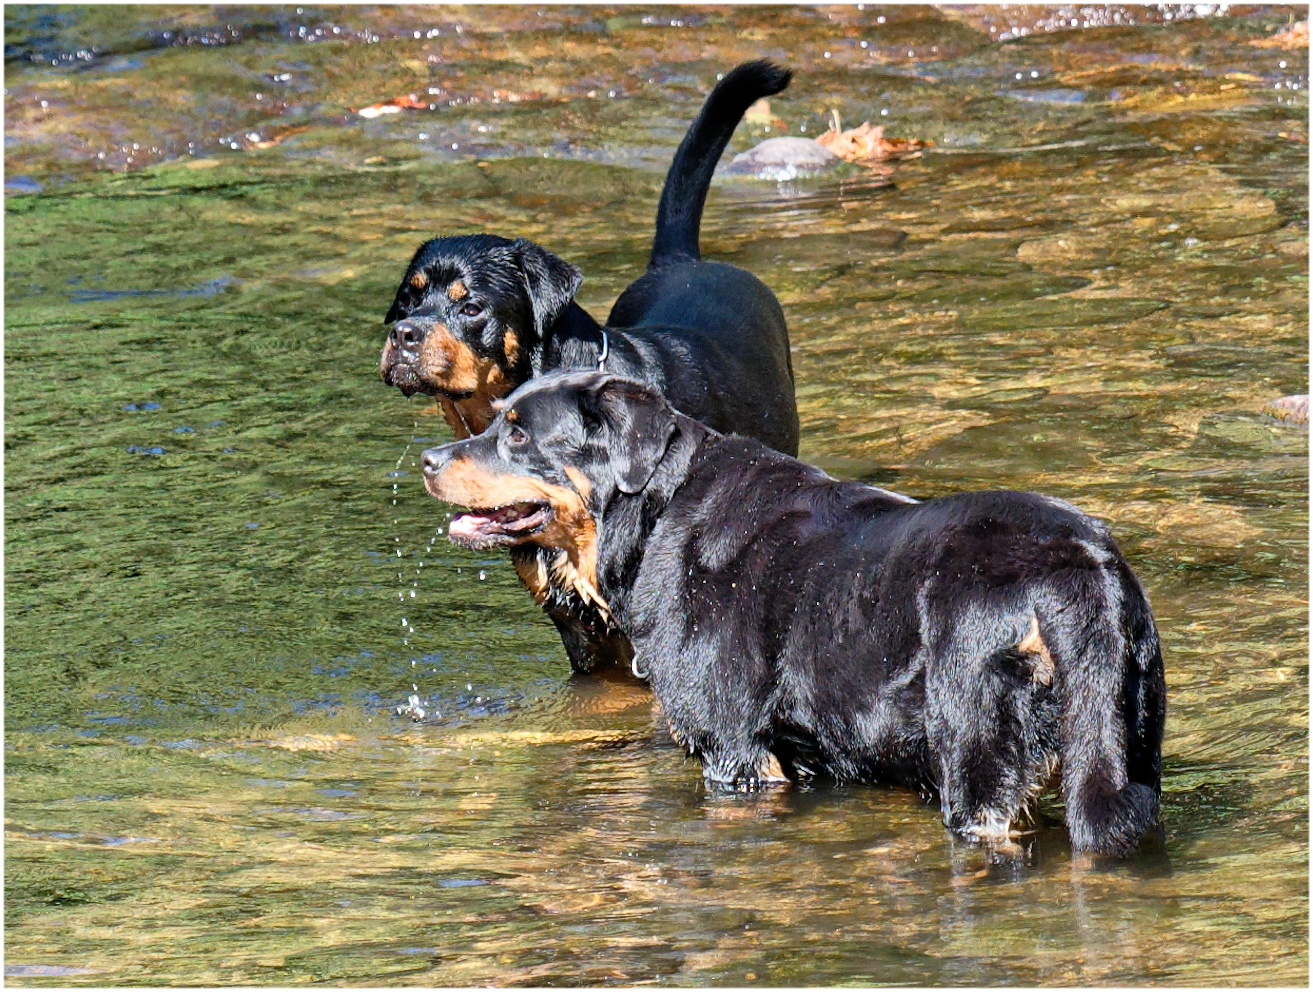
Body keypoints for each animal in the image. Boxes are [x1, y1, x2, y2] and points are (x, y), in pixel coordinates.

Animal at [420, 372, 1171, 860]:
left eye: (519, 437)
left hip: (975, 750)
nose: (428, 459)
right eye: (493, 421)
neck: (657, 513)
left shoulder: (735, 752)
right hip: (1127, 747)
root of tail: (1075, 563)